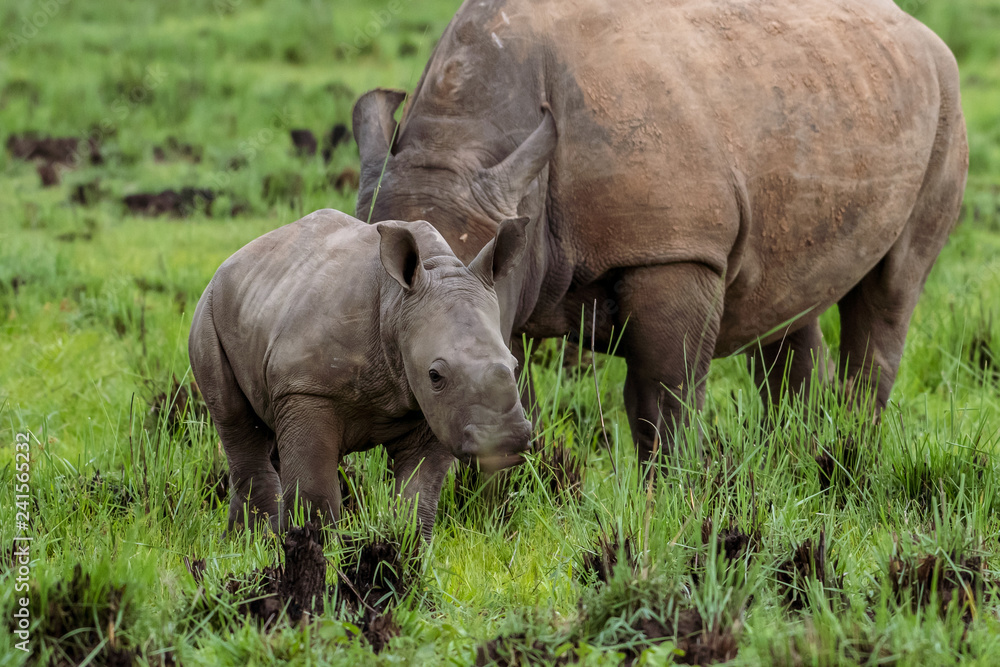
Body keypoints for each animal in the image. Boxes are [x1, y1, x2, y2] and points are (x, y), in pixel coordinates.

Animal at [188, 209, 532, 537]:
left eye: (515, 365)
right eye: (435, 375)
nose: (506, 440)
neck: (396, 303)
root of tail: (232, 260)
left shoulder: (437, 411)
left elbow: (419, 496)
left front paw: (404, 551)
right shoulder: (305, 387)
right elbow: (316, 491)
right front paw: (315, 547)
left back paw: (248, 538)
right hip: (208, 310)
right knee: (237, 423)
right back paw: (256, 540)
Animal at [353, 0, 969, 461]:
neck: (463, 143)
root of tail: (919, 30)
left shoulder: (675, 251)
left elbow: (662, 393)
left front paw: (671, 500)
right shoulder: (511, 276)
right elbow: (506, 386)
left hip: (945, 99)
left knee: (891, 291)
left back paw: (849, 457)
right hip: (825, 94)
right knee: (792, 300)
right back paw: (795, 457)